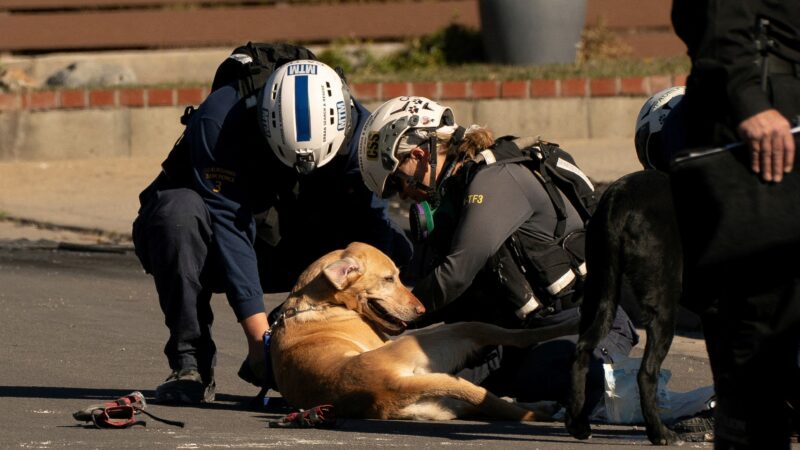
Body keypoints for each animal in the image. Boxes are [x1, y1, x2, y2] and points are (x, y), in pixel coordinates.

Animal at [272, 243, 572, 422]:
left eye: (398, 275)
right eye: (388, 279)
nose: (422, 309)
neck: (318, 304)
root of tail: (388, 384)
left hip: (441, 402)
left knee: (494, 405)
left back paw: (542, 406)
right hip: (448, 334)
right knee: (511, 338)